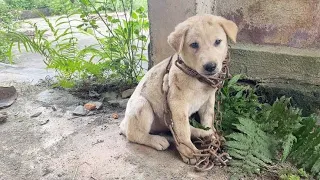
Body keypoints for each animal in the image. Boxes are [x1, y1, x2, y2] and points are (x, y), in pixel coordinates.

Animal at [120, 13, 238, 163]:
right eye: (194, 44)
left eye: (218, 41)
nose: (210, 66)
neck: (197, 78)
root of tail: (123, 123)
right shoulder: (177, 104)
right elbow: (182, 130)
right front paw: (189, 152)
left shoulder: (208, 101)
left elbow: (207, 120)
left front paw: (211, 136)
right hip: (142, 105)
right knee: (134, 134)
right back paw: (157, 140)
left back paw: (203, 133)